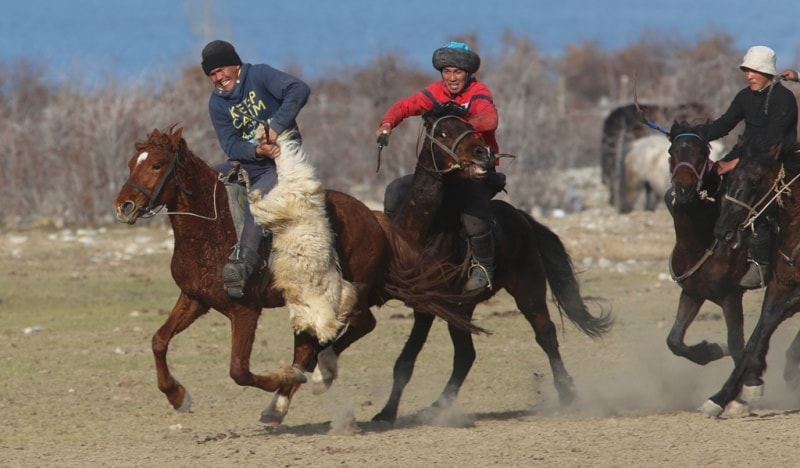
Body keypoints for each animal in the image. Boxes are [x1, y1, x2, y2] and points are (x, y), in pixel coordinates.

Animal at [112, 126, 482, 426]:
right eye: (131, 163)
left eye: (156, 165)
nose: (123, 207)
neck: (212, 230)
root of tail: (372, 216)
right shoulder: (194, 299)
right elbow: (159, 341)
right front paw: (177, 395)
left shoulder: (244, 311)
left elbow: (239, 370)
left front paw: (284, 379)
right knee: (311, 346)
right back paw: (281, 403)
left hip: (343, 291)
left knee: (357, 327)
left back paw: (315, 376)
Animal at [370, 107, 612, 424]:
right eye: (442, 132)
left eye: (469, 127)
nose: (483, 153)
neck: (421, 233)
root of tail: (521, 217)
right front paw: (386, 412)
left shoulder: (430, 305)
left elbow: (407, 360)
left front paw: (387, 413)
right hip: (462, 306)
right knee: (465, 355)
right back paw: (437, 407)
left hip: (527, 290)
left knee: (545, 334)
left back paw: (567, 394)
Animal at [664, 121, 752, 370]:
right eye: (671, 152)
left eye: (702, 153)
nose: (684, 189)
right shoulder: (692, 293)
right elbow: (674, 340)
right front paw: (711, 349)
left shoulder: (731, 297)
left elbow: (737, 347)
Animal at [696, 140, 800, 416]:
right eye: (730, 179)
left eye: (755, 180)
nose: (722, 230)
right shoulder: (779, 284)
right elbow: (758, 330)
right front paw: (724, 396)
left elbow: (769, 319)